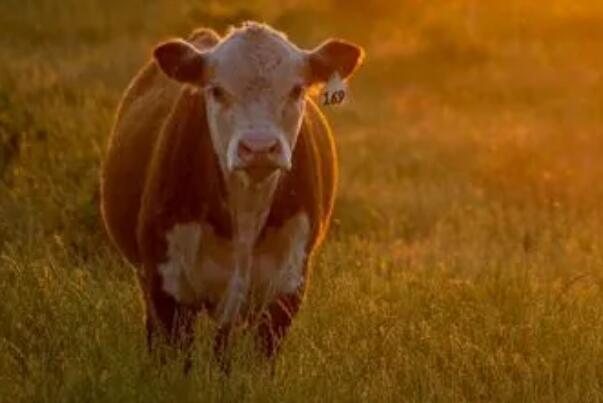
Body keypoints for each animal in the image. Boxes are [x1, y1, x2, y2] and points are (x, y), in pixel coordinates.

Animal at [100, 20, 364, 364]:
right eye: (216, 90)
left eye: (296, 90)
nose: (259, 147)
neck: (246, 210)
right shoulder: (166, 286)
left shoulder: (285, 289)